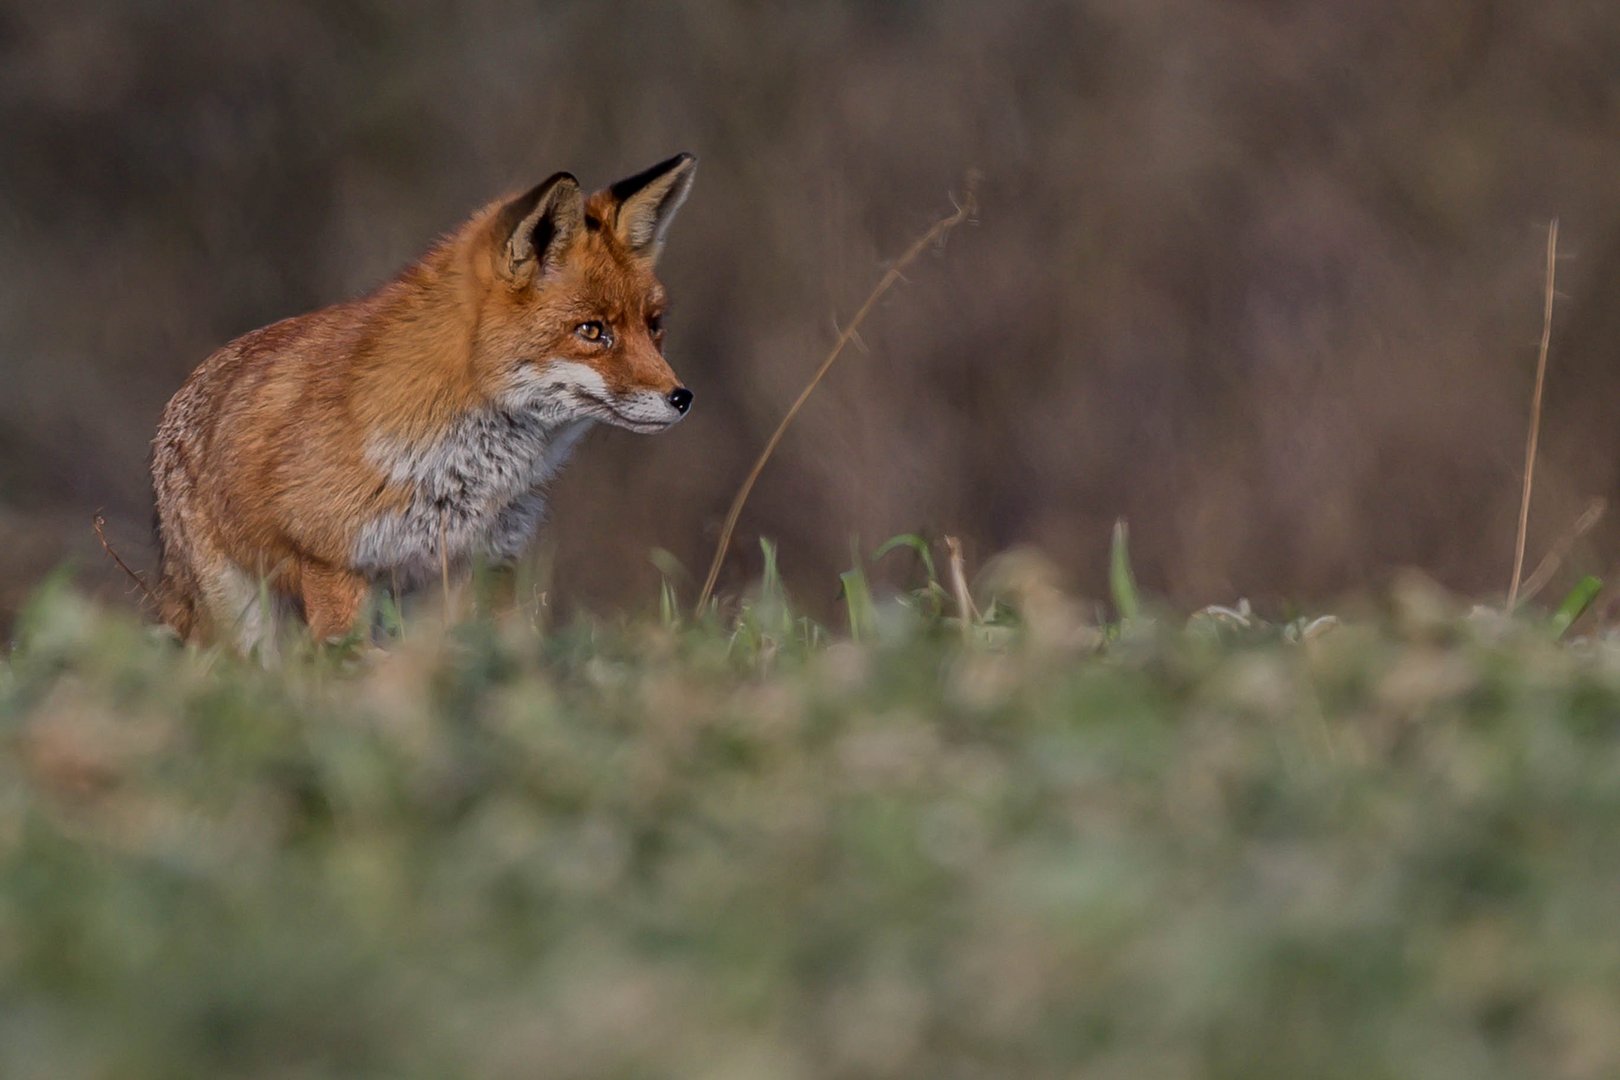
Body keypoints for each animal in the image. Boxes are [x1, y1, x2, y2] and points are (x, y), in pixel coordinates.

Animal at [144, 152, 690, 650]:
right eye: (592, 331)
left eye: (654, 326)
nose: (681, 397)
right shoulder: (333, 563)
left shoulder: (485, 565)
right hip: (244, 618)